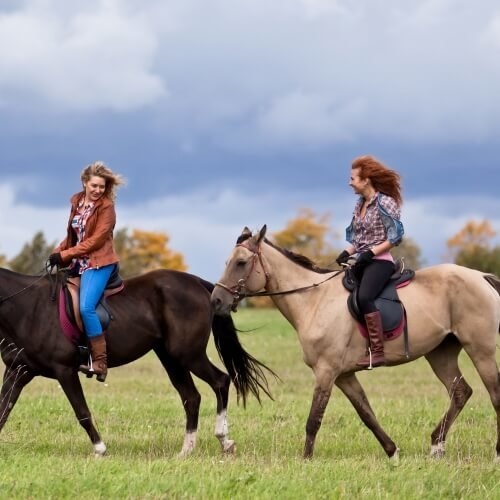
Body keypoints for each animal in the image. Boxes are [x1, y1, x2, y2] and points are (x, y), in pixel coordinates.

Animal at [0, 268, 274, 456]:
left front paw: (100, 449)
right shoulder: (18, 371)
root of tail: (197, 282)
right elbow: (3, 410)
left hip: (188, 354)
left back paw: (223, 439)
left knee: (220, 381)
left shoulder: (64, 371)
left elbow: (82, 412)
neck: (29, 308)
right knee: (191, 397)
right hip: (171, 358)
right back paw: (186, 450)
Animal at [211, 226, 500, 460]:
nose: (216, 301)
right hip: (440, 353)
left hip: (480, 350)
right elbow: (366, 413)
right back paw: (436, 445)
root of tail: (481, 276)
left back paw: (495, 452)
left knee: (494, 395)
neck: (313, 301)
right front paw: (392, 452)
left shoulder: (326, 371)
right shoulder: (344, 375)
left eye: (240, 262)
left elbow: (314, 419)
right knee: (460, 392)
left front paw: (305, 460)